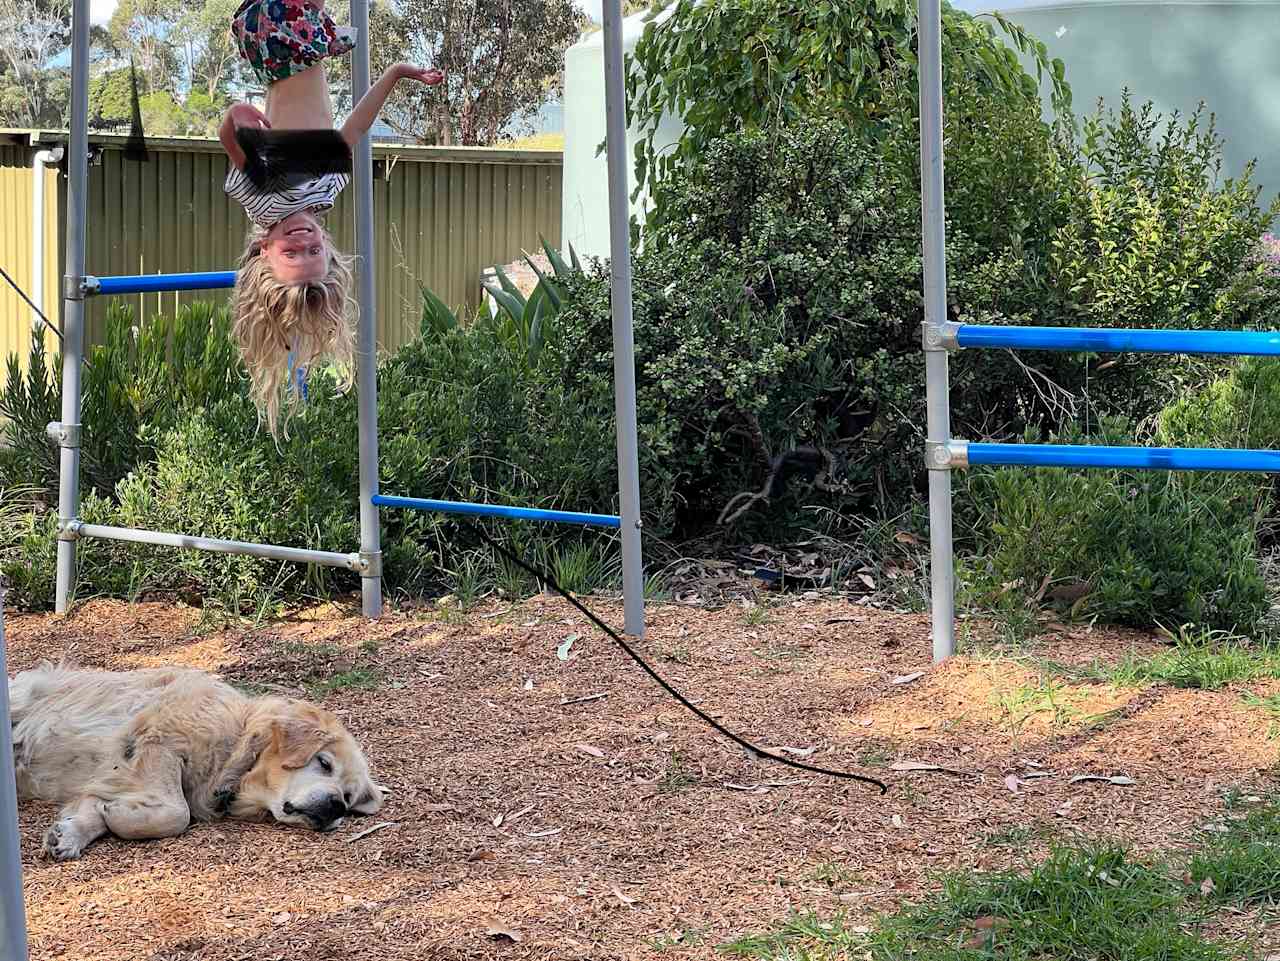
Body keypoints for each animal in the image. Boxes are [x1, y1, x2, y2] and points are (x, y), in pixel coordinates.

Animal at [8, 665, 384, 859]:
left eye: (348, 798)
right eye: (324, 763)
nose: (336, 807)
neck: (235, 745)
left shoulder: (113, 777)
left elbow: (93, 805)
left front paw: (72, 832)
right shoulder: (158, 743)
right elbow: (177, 813)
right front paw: (115, 818)